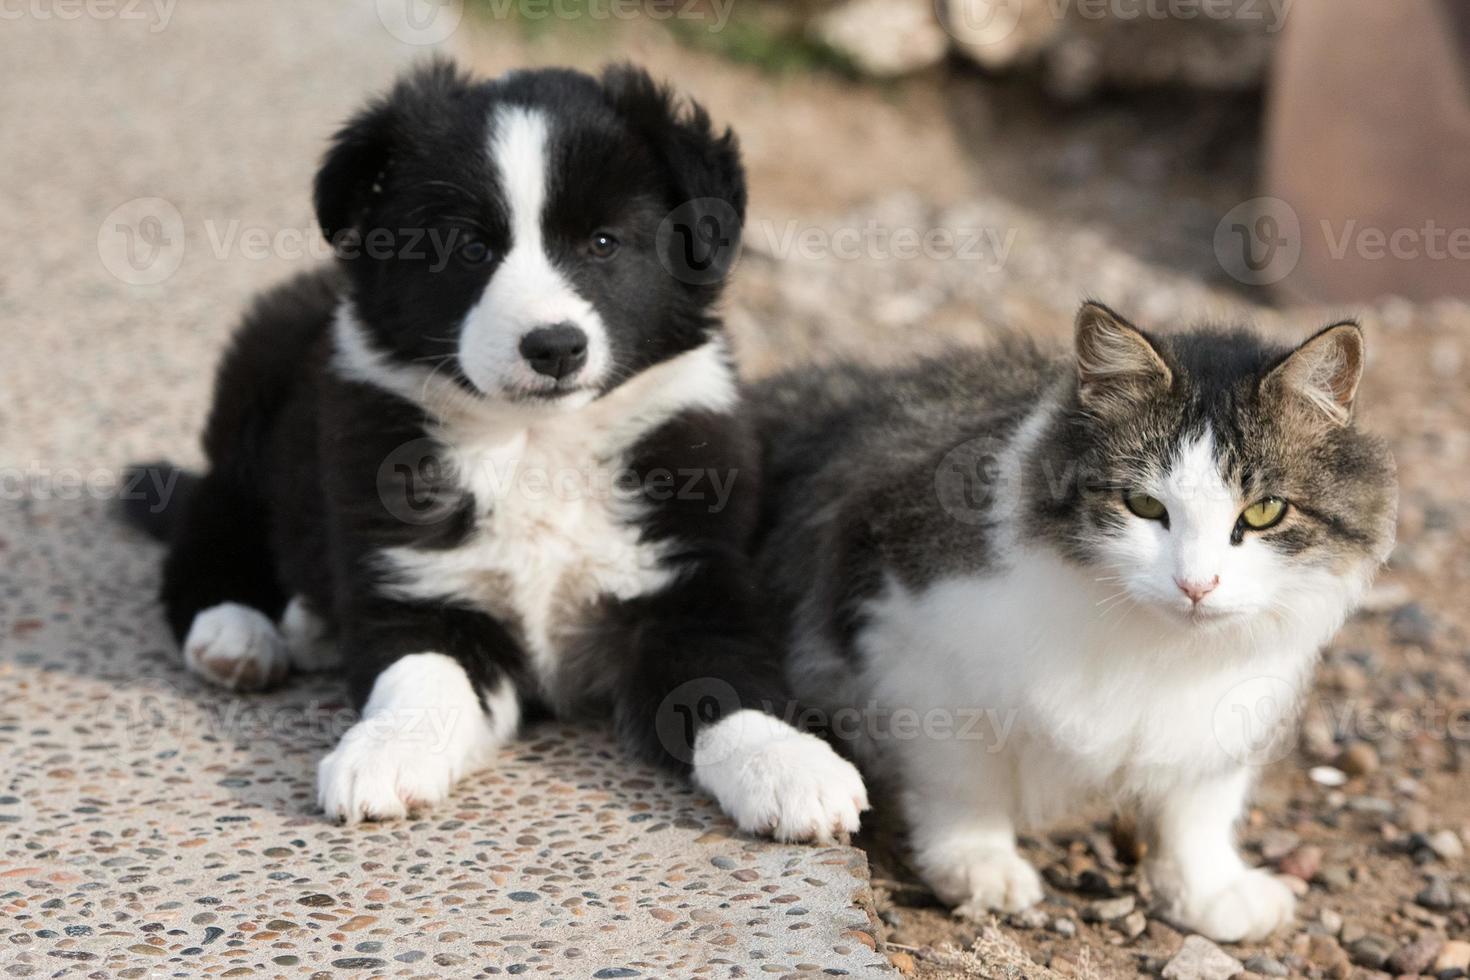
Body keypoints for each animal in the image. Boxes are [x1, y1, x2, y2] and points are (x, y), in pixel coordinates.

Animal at [123, 61, 870, 846]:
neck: (534, 442)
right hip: (248, 420)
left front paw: (790, 765)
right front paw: (384, 755)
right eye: (470, 249)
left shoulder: (688, 580)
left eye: (604, 243)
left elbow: (727, 682)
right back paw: (236, 632)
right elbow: (422, 676)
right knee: (211, 530)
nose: (554, 347)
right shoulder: (420, 587)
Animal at [752, 304, 1393, 940]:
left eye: (1264, 511)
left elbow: (1199, 806)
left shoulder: (1230, 703)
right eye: (1144, 506)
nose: (1196, 586)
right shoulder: (912, 639)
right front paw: (978, 862)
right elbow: (963, 774)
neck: (1153, 642)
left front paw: (1208, 890)